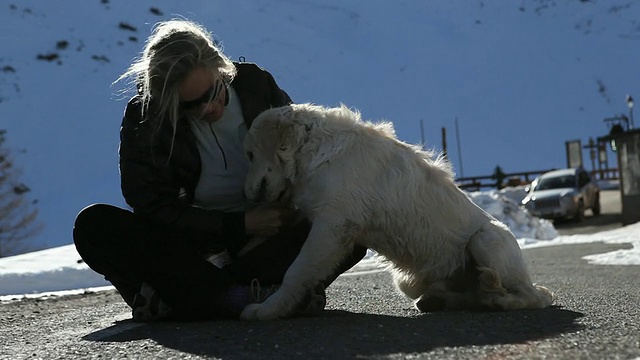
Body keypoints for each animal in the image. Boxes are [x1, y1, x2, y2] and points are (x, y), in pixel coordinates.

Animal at [242, 102, 552, 320]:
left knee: (534, 297)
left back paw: (501, 300)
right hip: (406, 280)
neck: (311, 148)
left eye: (249, 154)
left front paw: (267, 310)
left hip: (486, 239)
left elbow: (295, 272)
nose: (247, 195)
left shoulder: (333, 225)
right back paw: (443, 299)